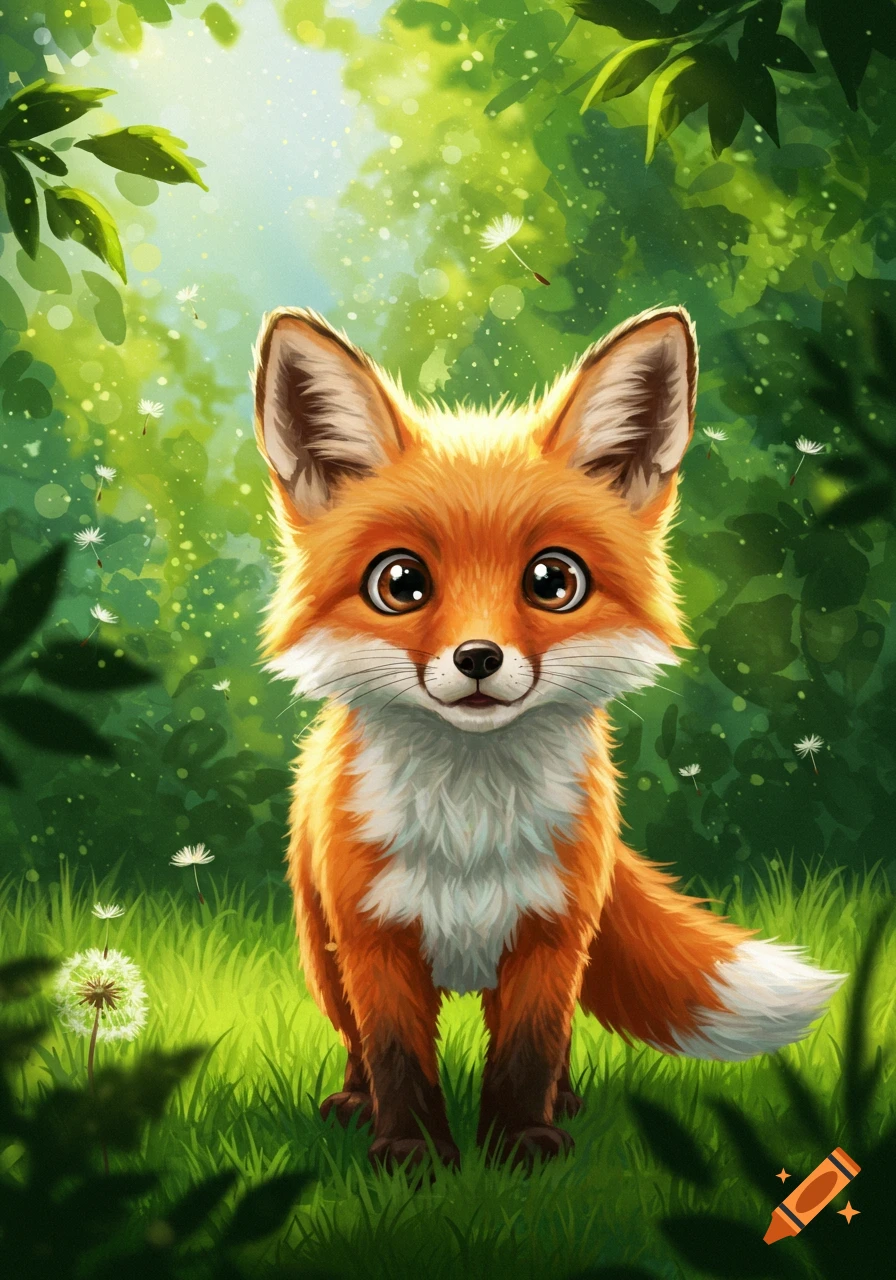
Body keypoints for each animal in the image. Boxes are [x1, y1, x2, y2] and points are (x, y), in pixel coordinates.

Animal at [253, 304, 844, 1172]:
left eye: (552, 581)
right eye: (401, 583)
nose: (478, 658)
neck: (469, 831)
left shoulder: (551, 933)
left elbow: (529, 1051)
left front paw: (520, 1146)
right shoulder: (375, 939)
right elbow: (396, 1052)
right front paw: (412, 1152)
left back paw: (562, 1103)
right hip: (321, 949)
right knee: (355, 1039)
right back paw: (355, 1103)